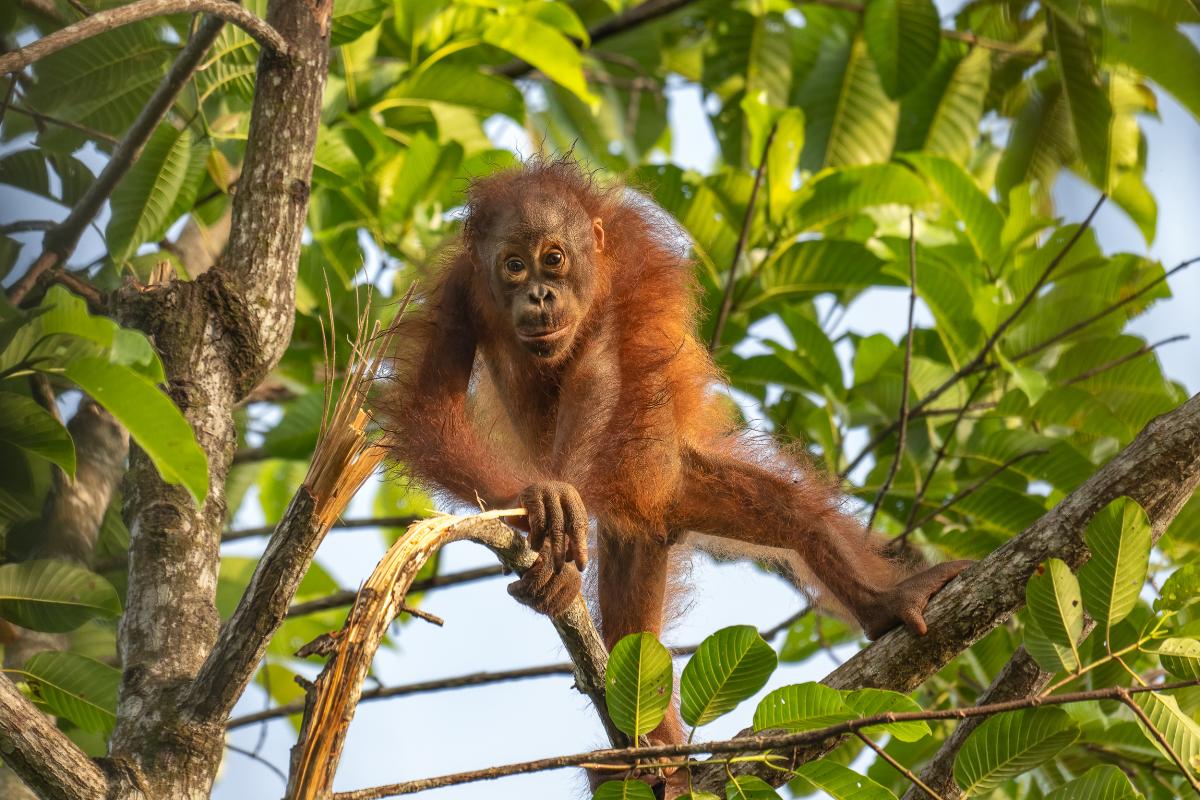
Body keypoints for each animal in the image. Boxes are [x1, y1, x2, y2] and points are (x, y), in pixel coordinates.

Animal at [379, 156, 971, 760]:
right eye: (514, 266)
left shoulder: (627, 280)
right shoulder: (457, 291)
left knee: (789, 511)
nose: (540, 295)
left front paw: (560, 508)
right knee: (627, 635)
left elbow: (600, 375)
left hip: (677, 482)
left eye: (554, 259)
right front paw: (536, 502)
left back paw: (885, 602)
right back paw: (651, 752)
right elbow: (432, 411)